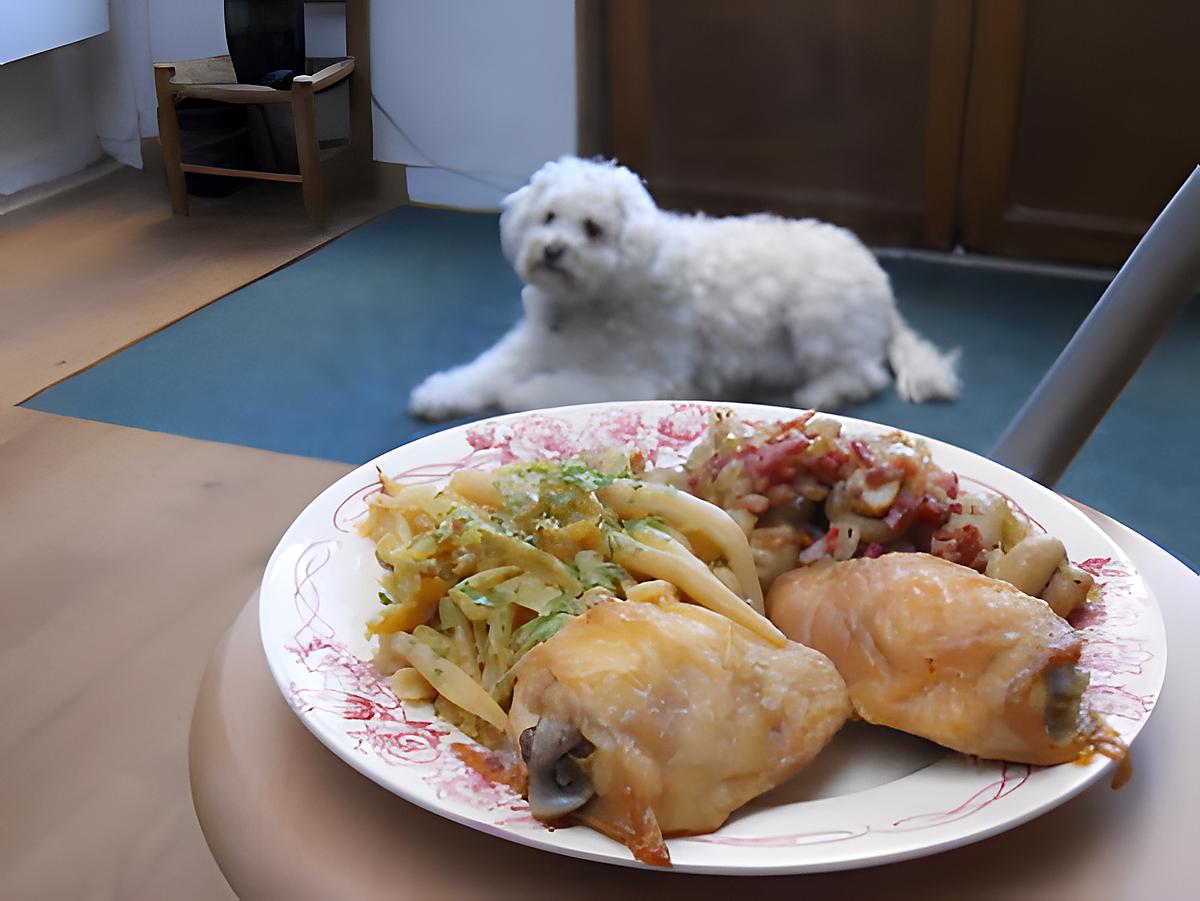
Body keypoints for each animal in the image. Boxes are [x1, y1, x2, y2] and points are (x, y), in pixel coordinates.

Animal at [408, 157, 960, 419]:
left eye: (593, 228)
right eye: (548, 217)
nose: (552, 250)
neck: (593, 301)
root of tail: (882, 286)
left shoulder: (638, 380)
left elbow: (547, 388)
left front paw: (521, 394)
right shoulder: (532, 343)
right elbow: (482, 371)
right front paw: (439, 394)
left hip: (815, 321)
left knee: (861, 375)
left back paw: (815, 391)